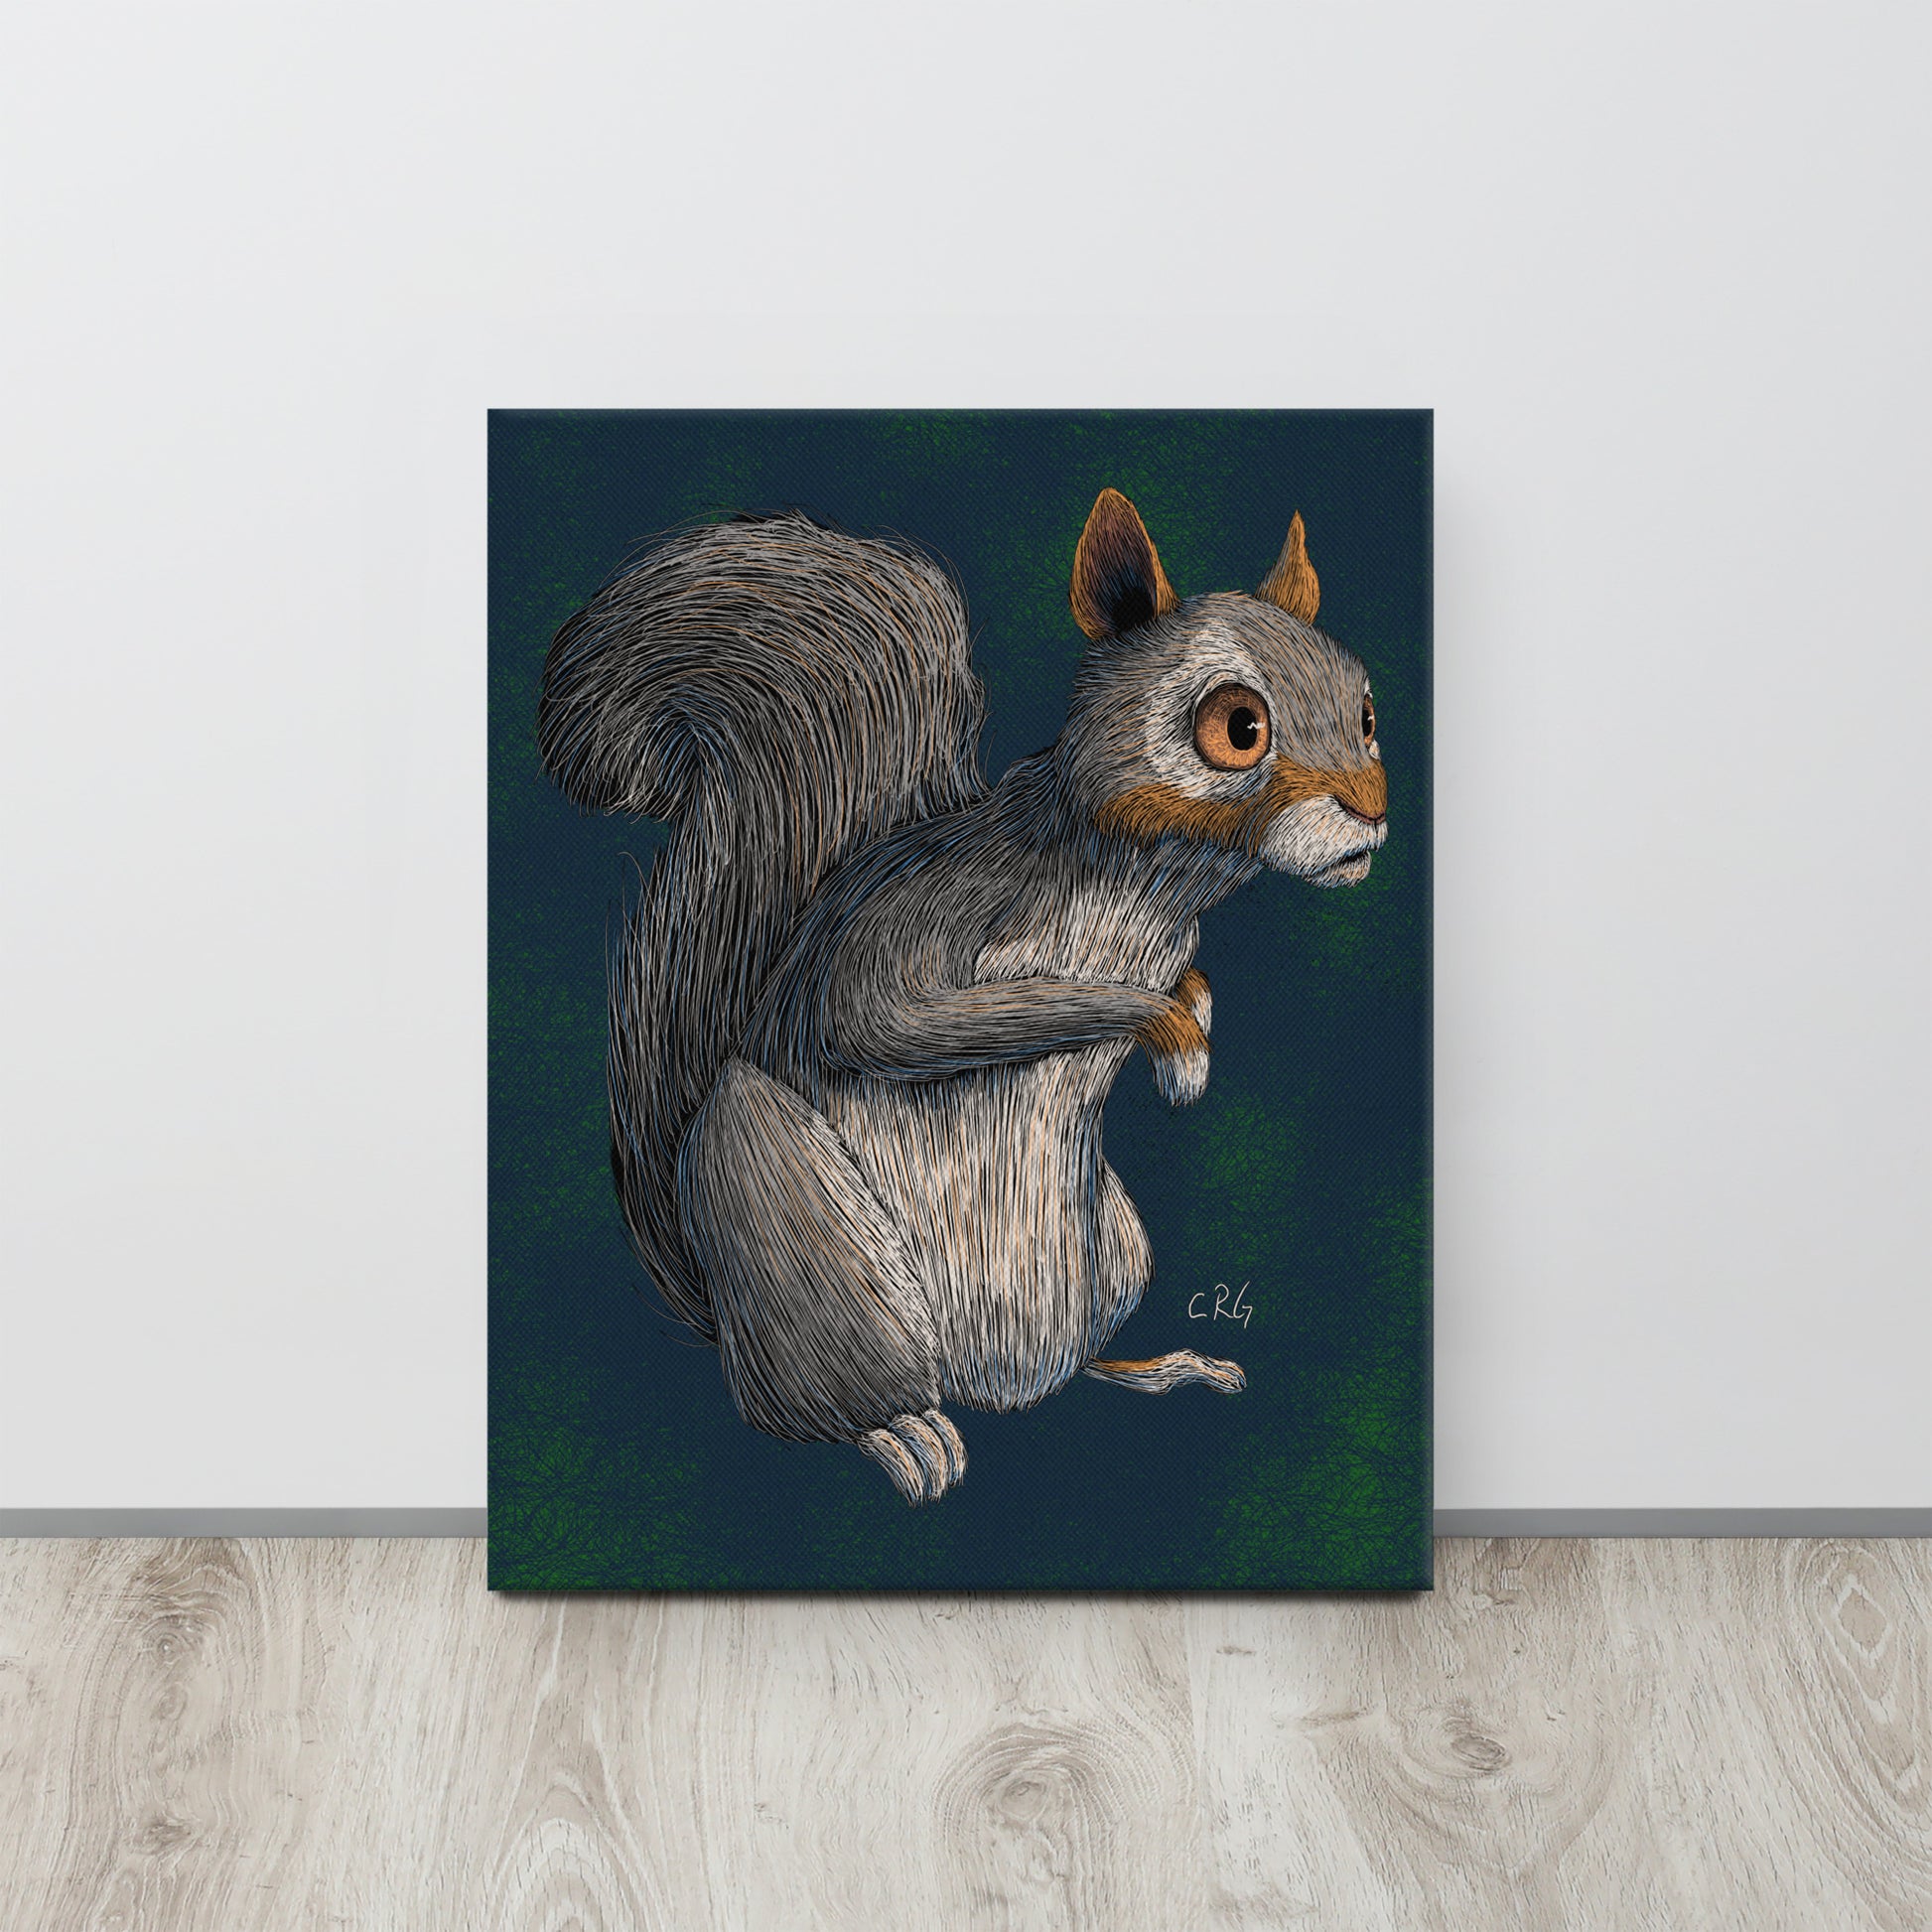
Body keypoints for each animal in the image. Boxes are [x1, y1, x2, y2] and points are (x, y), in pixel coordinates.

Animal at [537, 487, 1388, 1504]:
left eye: (1367, 710)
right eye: (1237, 726)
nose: (1372, 812)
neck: (1151, 887)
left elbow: (1191, 979)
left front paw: (1198, 1029)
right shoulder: (927, 920)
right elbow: (897, 1021)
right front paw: (1173, 1041)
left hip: (1117, 1250)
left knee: (1073, 1365)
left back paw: (1161, 1368)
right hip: (801, 1238)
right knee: (813, 1405)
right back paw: (901, 1434)